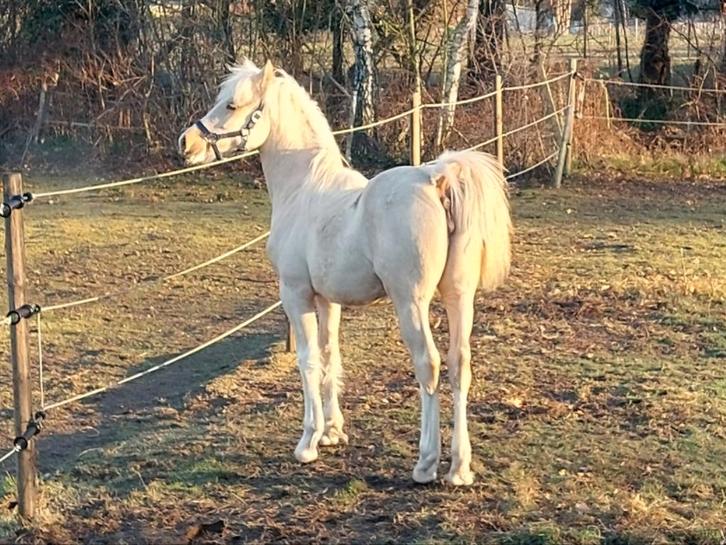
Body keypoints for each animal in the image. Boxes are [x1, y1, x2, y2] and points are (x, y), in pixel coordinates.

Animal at [178, 60, 512, 485]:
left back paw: (425, 463)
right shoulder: (328, 300)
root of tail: (435, 179)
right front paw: (333, 432)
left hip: (411, 302)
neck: (304, 189)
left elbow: (307, 361)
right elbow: (329, 354)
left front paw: (308, 442)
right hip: (458, 296)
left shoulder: (296, 295)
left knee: (429, 365)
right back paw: (459, 468)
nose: (187, 143)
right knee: (459, 365)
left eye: (232, 105)